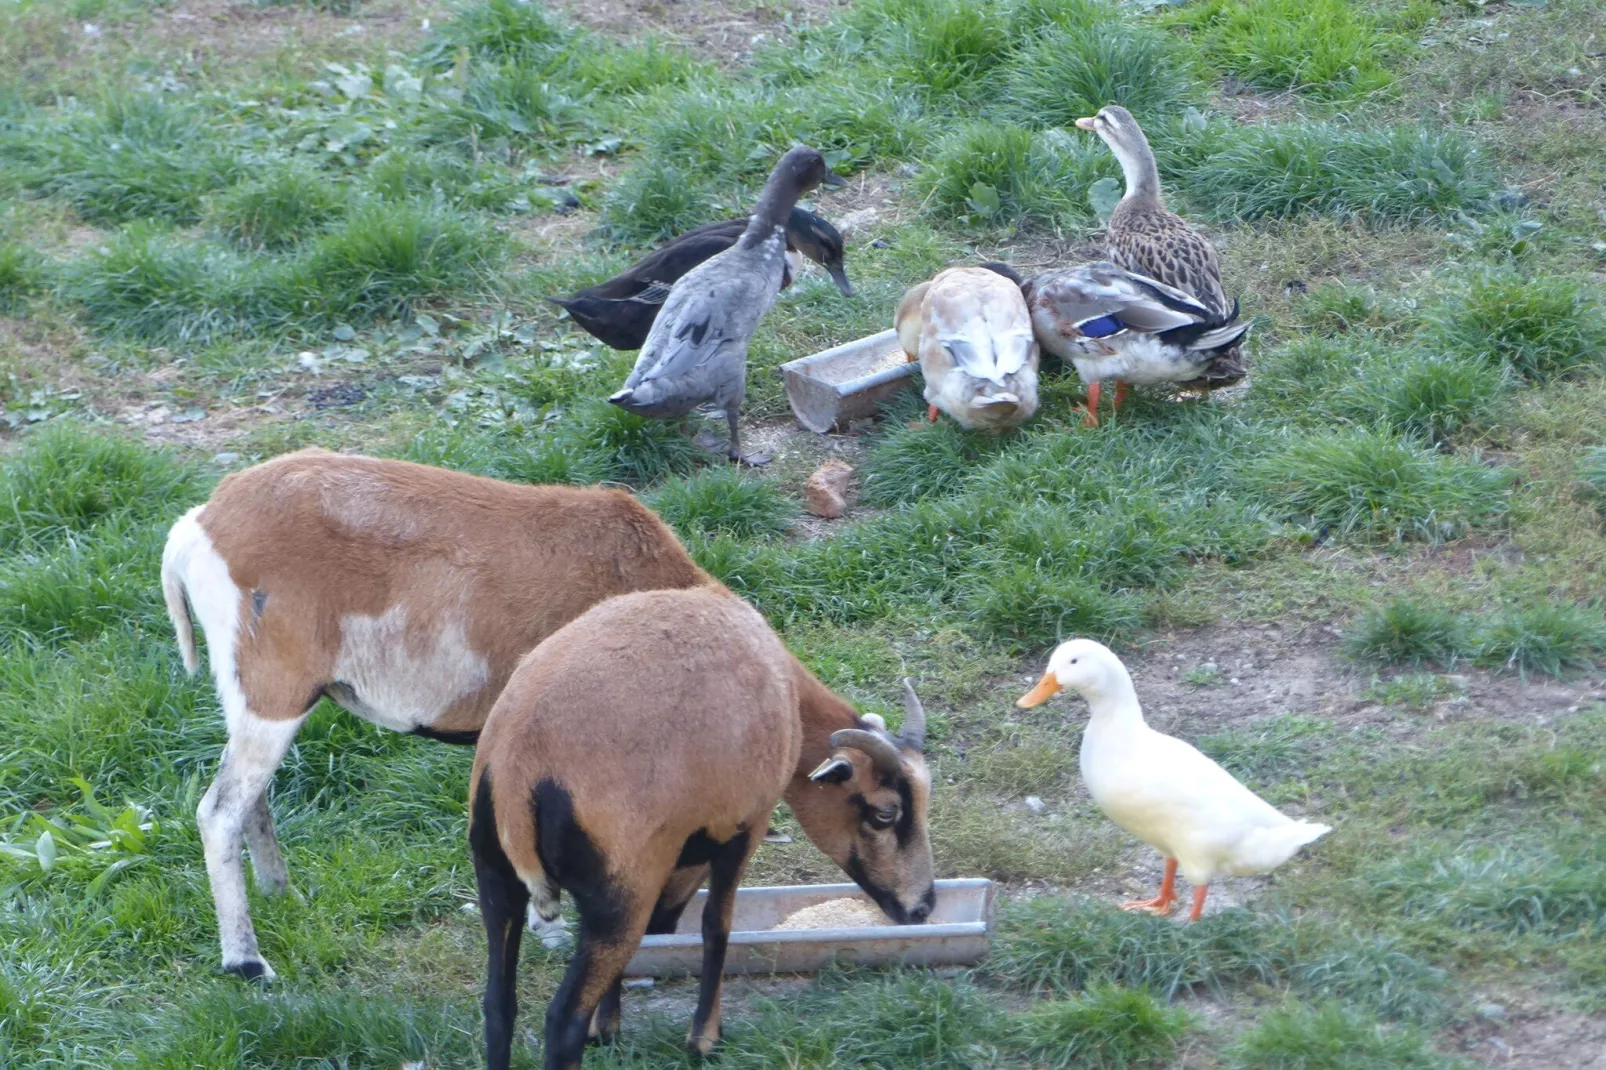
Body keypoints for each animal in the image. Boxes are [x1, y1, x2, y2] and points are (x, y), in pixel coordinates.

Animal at [468, 584, 937, 1066]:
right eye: (885, 814)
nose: (922, 908)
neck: (787, 692)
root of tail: (520, 764)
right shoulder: (744, 825)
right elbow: (716, 924)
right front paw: (704, 1038)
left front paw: (610, 1026)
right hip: (621, 892)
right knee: (562, 1022)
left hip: (496, 875)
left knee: (498, 1006)